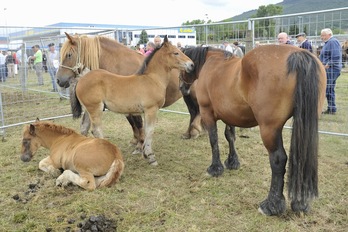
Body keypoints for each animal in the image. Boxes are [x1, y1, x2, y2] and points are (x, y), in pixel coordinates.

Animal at [55, 32, 184, 148]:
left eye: (69, 55)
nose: (58, 80)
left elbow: (137, 123)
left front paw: (140, 142)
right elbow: (134, 124)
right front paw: (136, 141)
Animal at [70, 35, 196, 165]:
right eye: (176, 53)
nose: (192, 65)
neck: (152, 79)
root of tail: (81, 79)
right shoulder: (151, 109)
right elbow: (149, 131)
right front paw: (150, 156)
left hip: (89, 110)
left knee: (84, 128)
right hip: (95, 109)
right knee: (96, 130)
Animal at [181, 44, 328, 216]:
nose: (182, 88)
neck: (212, 63)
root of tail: (299, 55)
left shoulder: (207, 113)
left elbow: (214, 140)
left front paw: (215, 168)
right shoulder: (230, 115)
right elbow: (230, 136)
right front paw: (232, 162)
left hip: (269, 128)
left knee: (278, 159)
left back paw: (271, 205)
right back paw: (300, 203)